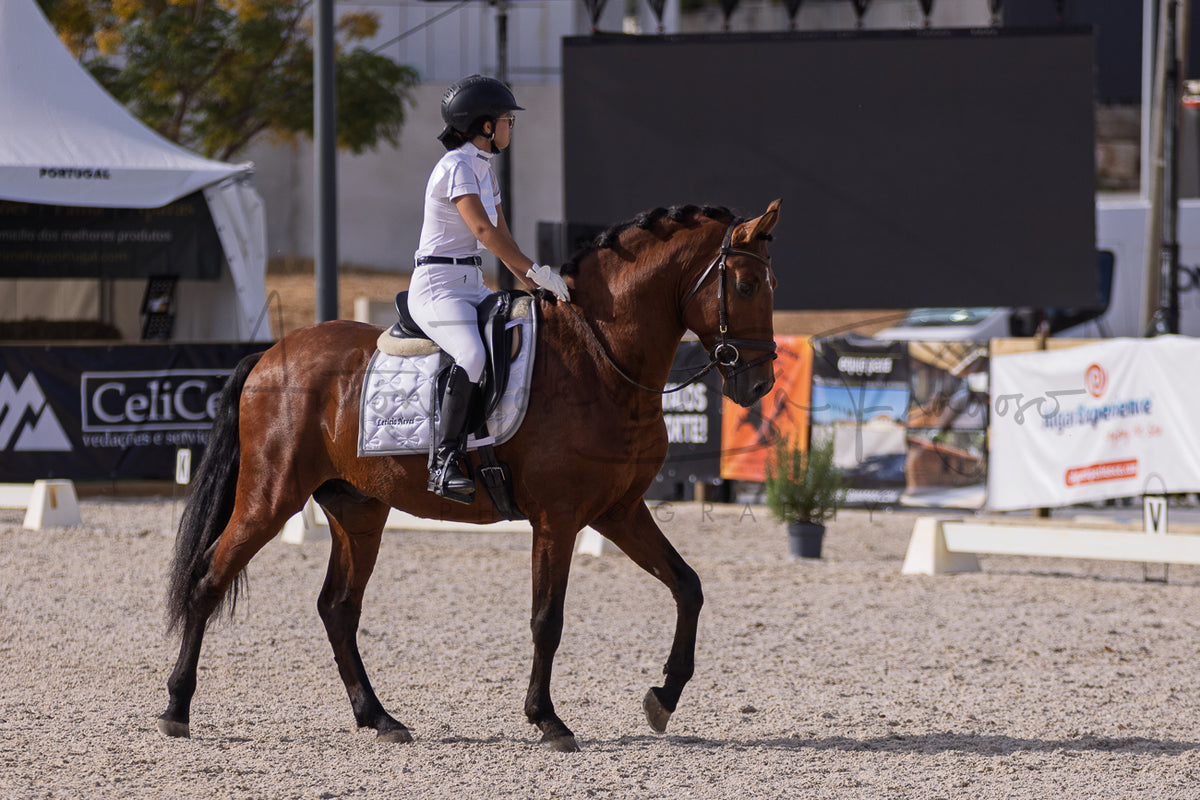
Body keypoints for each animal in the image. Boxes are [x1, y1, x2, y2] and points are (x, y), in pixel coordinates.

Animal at [157, 199, 782, 752]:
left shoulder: (618, 511)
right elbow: (547, 619)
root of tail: (270, 355)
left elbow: (688, 586)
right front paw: (548, 720)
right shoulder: (558, 520)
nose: (759, 385)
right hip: (271, 496)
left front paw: (663, 698)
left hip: (359, 511)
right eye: (747, 285)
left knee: (337, 608)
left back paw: (379, 718)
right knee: (210, 578)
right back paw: (176, 709)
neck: (601, 358)